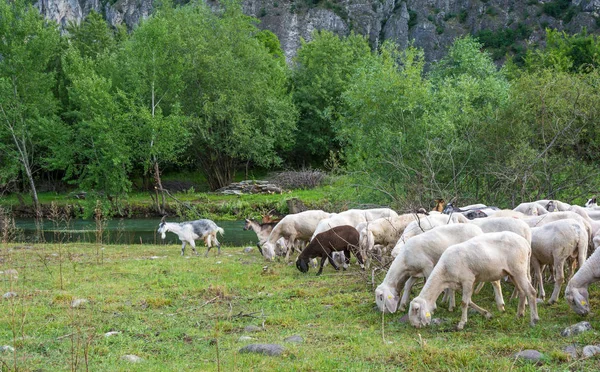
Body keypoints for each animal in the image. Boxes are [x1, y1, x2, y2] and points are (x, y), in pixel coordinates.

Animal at [408, 232, 540, 332]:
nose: (415, 326)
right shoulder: (464, 283)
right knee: (522, 291)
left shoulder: (468, 279)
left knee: (531, 292)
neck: (444, 274)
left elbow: (464, 303)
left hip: (519, 269)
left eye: (416, 310)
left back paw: (534, 320)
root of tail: (526, 244)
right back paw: (519, 315)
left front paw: (461, 324)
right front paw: (487, 314)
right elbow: (470, 301)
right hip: (512, 273)